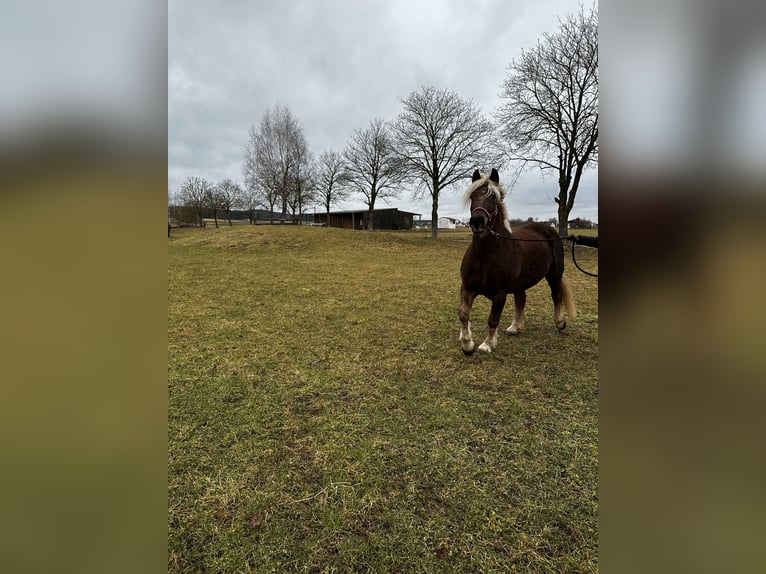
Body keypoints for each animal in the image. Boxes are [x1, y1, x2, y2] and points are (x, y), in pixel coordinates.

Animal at [456, 169, 576, 356]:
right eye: (472, 196)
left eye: (493, 197)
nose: (477, 222)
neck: (484, 254)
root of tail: (549, 230)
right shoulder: (468, 288)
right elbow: (463, 314)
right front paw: (467, 344)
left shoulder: (499, 294)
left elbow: (493, 319)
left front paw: (487, 344)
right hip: (521, 281)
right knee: (521, 299)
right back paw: (515, 326)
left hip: (554, 274)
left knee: (556, 295)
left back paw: (560, 322)